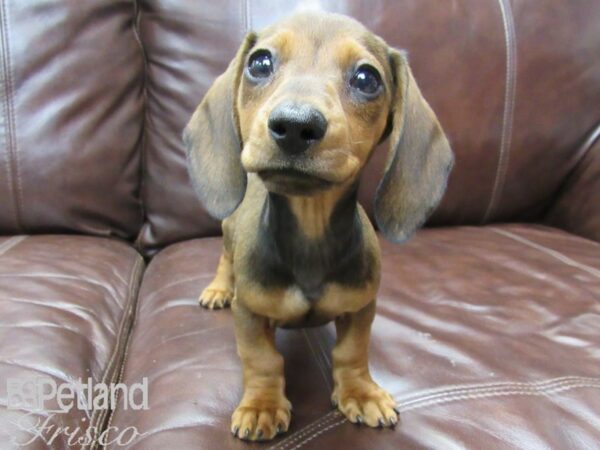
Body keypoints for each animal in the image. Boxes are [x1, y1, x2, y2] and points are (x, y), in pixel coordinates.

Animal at [185, 11, 452, 442]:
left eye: (367, 78)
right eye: (260, 63)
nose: (295, 125)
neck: (310, 230)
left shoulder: (361, 306)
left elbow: (351, 352)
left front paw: (361, 393)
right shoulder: (249, 311)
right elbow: (262, 359)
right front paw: (262, 405)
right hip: (227, 232)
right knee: (225, 259)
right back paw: (217, 288)